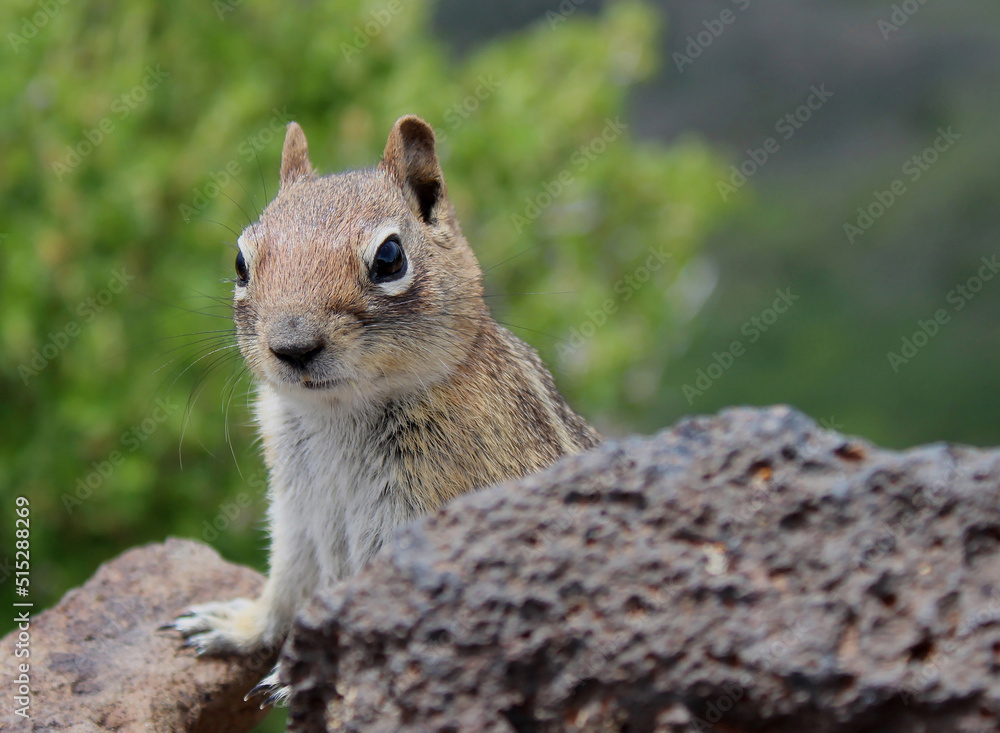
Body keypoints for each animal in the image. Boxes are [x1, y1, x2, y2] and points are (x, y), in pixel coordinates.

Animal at [171, 115, 601, 702]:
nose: (293, 345)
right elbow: (286, 586)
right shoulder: (295, 513)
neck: (337, 412)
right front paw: (238, 626)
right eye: (240, 262)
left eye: (390, 258)